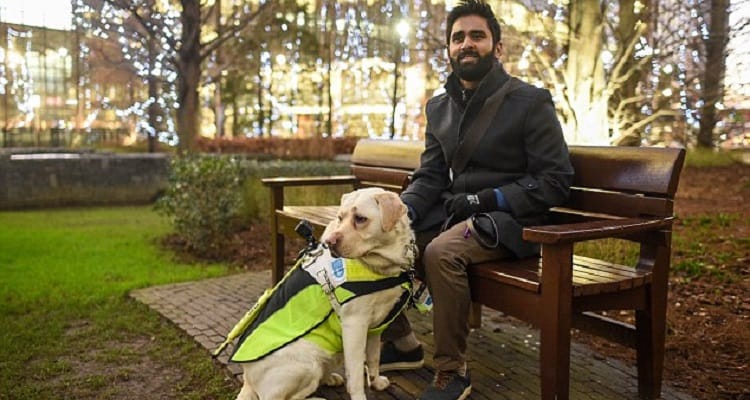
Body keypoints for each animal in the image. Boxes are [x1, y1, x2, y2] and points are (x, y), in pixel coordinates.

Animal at [234, 188, 418, 400]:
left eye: (360, 219)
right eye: (340, 217)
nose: (330, 243)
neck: (382, 266)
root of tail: (247, 379)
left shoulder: (377, 326)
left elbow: (373, 357)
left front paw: (376, 382)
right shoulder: (355, 325)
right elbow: (356, 372)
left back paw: (330, 378)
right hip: (307, 363)